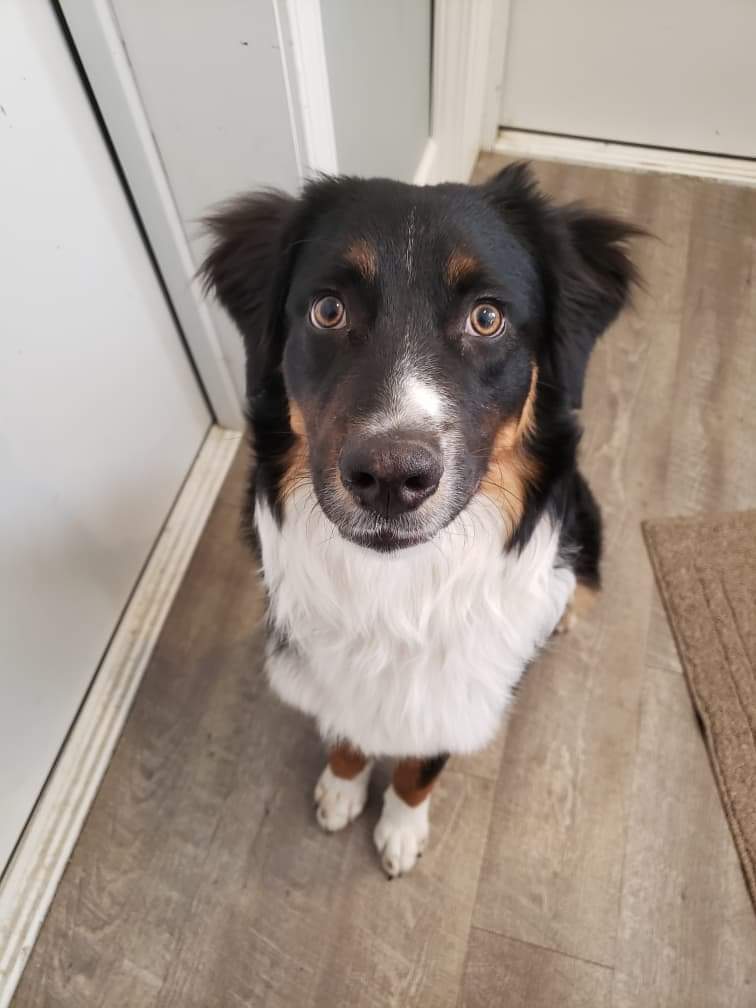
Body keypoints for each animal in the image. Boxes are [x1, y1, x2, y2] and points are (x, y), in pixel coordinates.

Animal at [201, 163, 641, 874]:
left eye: (486, 317)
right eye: (328, 309)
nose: (389, 478)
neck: (399, 589)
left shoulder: (456, 695)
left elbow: (419, 767)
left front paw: (401, 829)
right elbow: (348, 733)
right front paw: (342, 787)